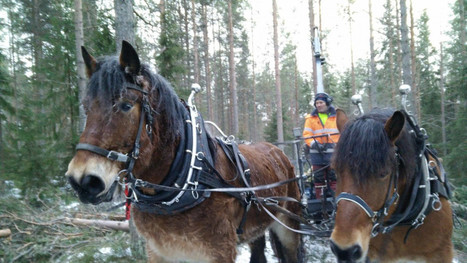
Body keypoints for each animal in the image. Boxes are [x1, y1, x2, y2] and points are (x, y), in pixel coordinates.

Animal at [65, 40, 304, 262]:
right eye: (86, 107)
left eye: (125, 105)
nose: (82, 180)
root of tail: (278, 151)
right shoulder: (158, 251)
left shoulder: (219, 253)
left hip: (288, 225)